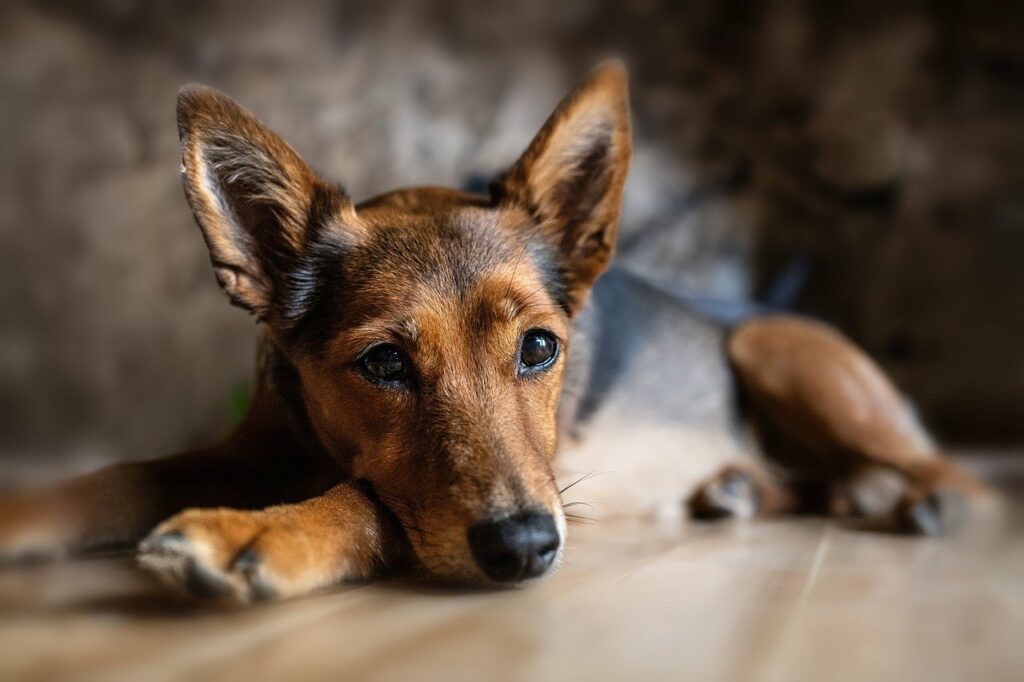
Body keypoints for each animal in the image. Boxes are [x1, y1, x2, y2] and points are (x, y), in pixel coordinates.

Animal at [0, 61, 991, 598]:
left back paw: (924, 503)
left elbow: (368, 499)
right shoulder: (249, 447)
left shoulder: (539, 487)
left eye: (541, 348)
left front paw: (265, 535)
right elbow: (123, 473)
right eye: (383, 363)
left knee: (958, 476)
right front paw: (26, 513)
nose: (524, 551)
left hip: (773, 348)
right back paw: (745, 490)